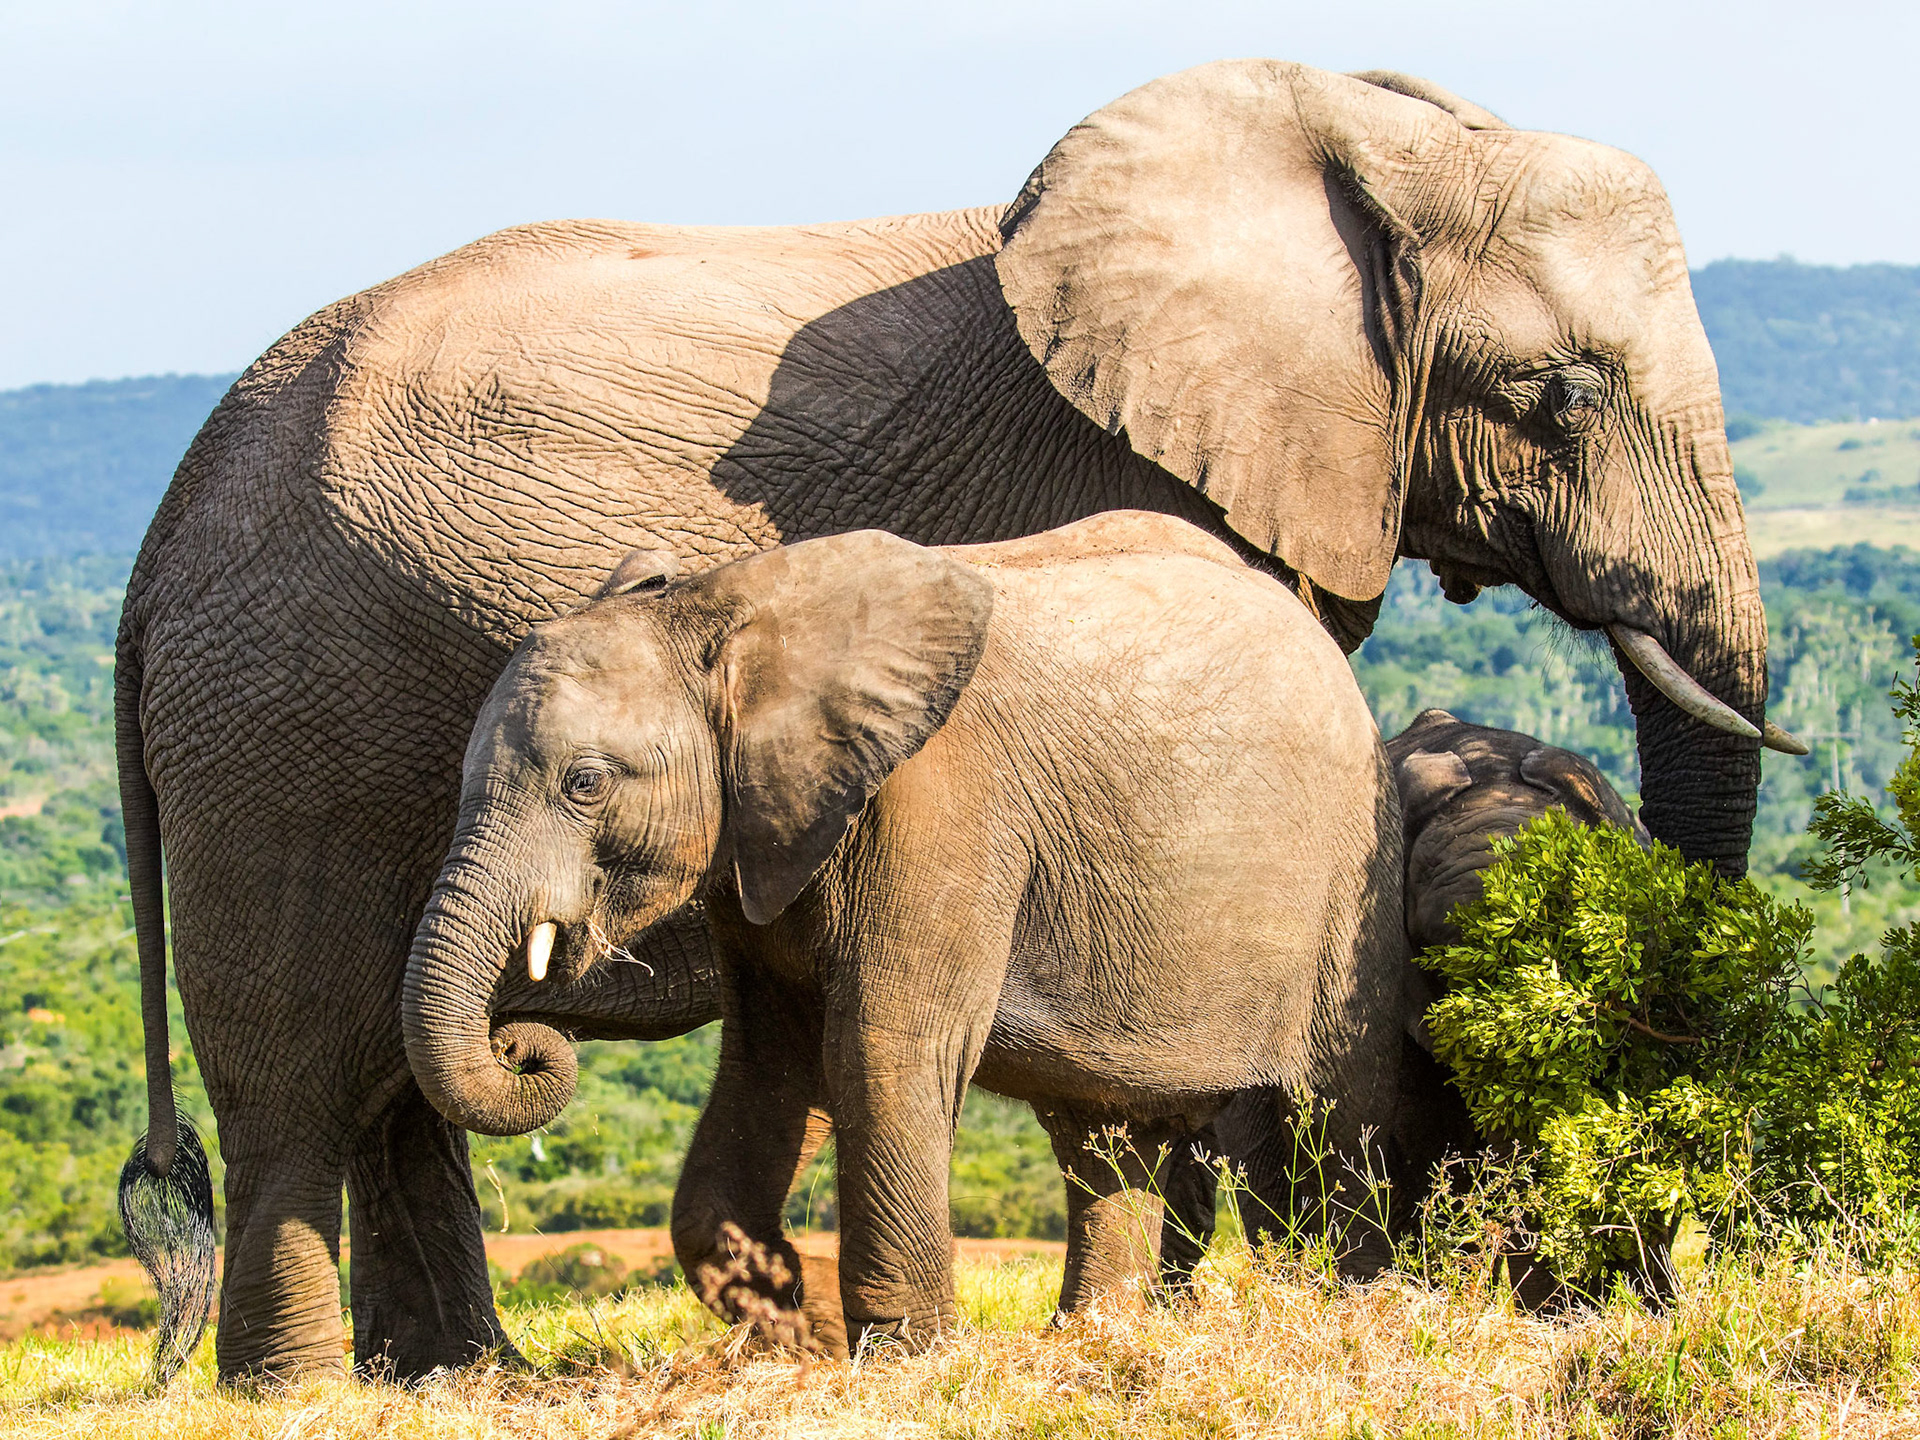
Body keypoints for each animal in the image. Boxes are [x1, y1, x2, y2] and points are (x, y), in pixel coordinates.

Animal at [402, 514, 1409, 1354]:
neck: (728, 610)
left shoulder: (943, 807)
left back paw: (1364, 1310)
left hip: (1355, 865)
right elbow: (771, 1062)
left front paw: (903, 1358)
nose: (522, 1040)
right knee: (1103, 1135)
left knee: (1341, 1102)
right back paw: (1092, 1342)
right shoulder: (765, 837)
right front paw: (799, 1324)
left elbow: (879, 1048)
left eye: (585, 783)